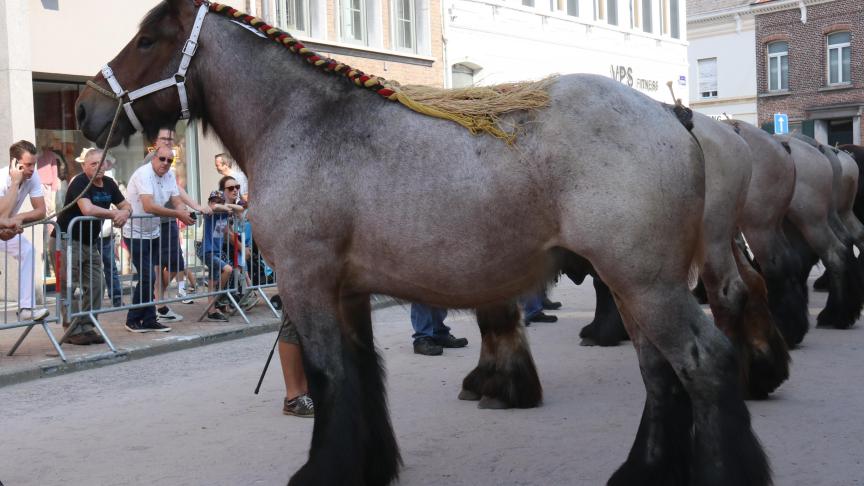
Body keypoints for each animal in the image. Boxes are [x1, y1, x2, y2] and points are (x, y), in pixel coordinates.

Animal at [76, 1, 768, 484]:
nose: (84, 107)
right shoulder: (346, 292)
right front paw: (369, 465)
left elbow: (331, 376)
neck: (303, 122)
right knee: (660, 372)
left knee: (702, 363)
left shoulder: (305, 283)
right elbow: (361, 375)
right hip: (636, 286)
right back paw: (640, 473)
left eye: (147, 39)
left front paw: (323, 472)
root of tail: (675, 120)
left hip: (646, 283)